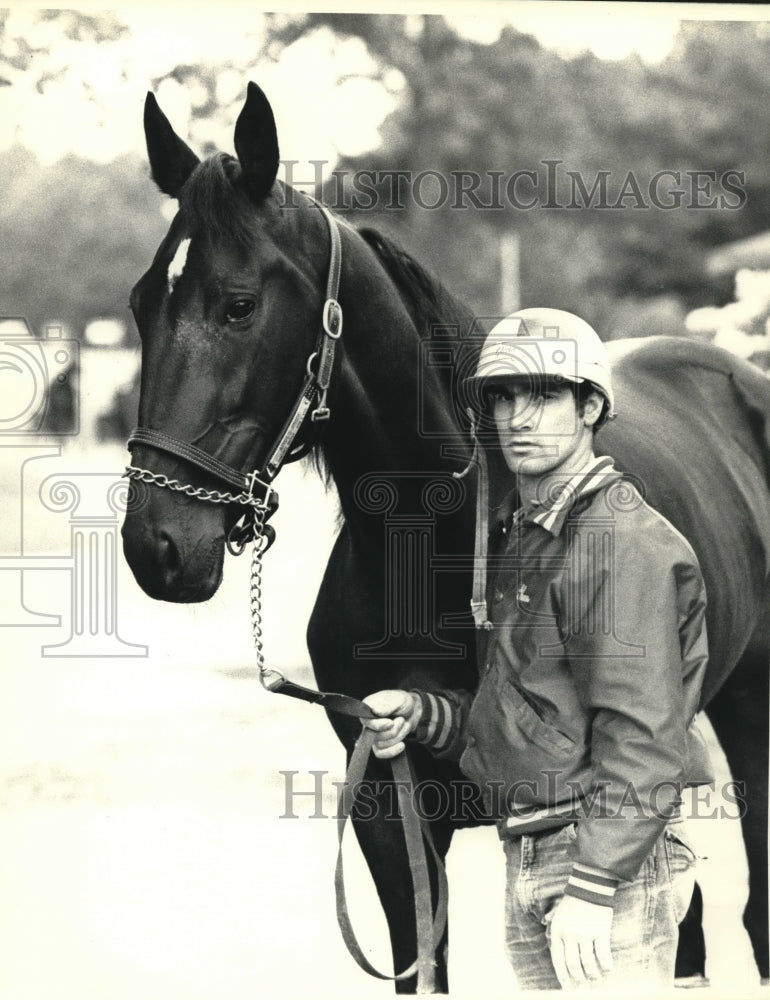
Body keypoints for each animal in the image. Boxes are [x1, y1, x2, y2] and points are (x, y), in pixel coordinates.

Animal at [121, 82, 768, 988]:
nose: (157, 544)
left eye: (238, 304)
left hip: (752, 714)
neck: (436, 542)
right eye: (141, 303)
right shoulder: (389, 814)